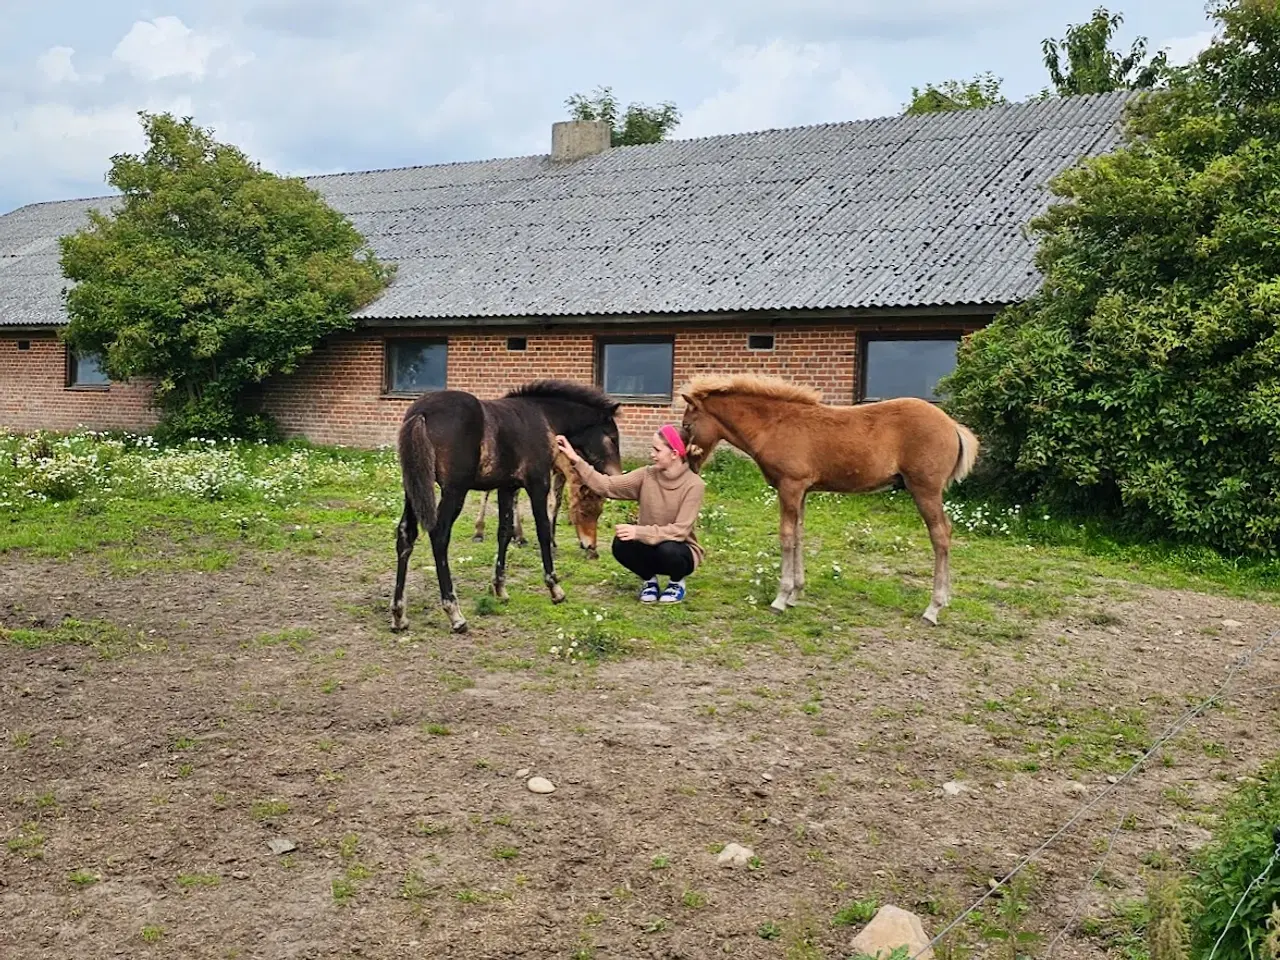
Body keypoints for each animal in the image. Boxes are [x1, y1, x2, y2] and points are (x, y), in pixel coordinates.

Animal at [686, 371, 972, 627]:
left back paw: (933, 608)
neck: (775, 425)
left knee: (940, 534)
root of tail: (952, 425)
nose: (690, 465)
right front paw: (796, 593)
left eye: (687, 424)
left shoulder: (790, 486)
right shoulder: (801, 490)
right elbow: (799, 535)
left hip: (925, 489)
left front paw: (781, 598)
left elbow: (786, 537)